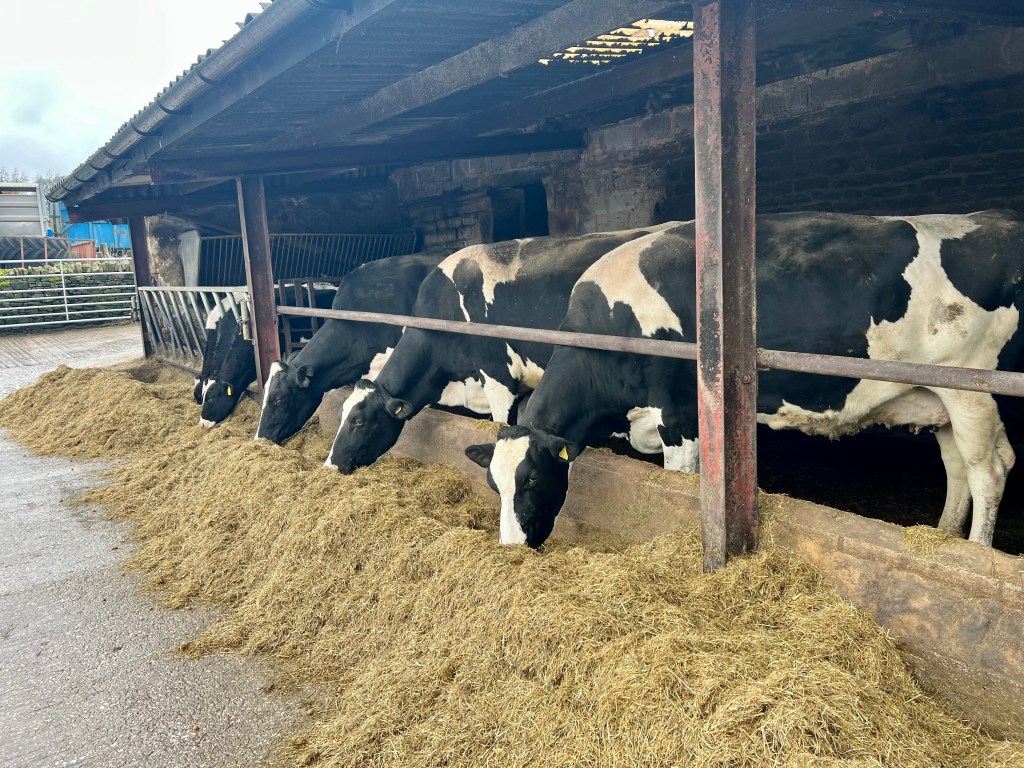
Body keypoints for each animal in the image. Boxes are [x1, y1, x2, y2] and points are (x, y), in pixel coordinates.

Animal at [468, 210, 1024, 548]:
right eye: (494, 483)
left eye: (532, 478)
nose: (513, 547)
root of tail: (994, 219)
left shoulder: (681, 418)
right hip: (939, 398)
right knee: (957, 466)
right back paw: (944, 537)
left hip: (970, 386)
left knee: (990, 469)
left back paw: (975, 551)